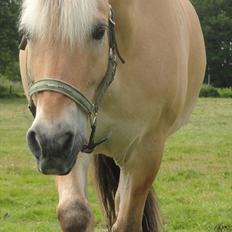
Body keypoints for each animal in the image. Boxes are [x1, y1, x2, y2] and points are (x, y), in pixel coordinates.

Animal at [19, 0, 206, 231]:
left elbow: (127, 222)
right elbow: (74, 214)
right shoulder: (72, 147)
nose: (51, 141)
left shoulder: (145, 151)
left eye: (99, 31)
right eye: (27, 33)